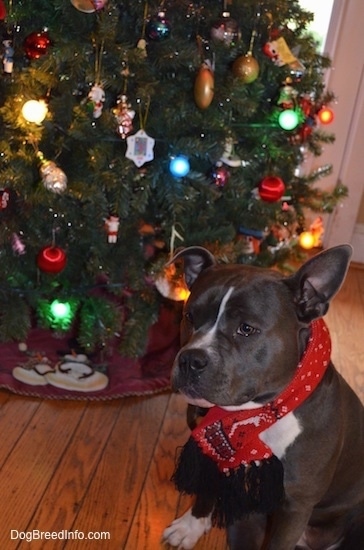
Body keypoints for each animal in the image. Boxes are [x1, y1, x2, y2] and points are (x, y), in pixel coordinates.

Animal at [163, 247, 364, 550]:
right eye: (190, 316)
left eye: (246, 328)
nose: (190, 359)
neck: (258, 414)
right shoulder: (212, 454)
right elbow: (205, 494)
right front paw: (192, 526)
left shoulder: (296, 505)